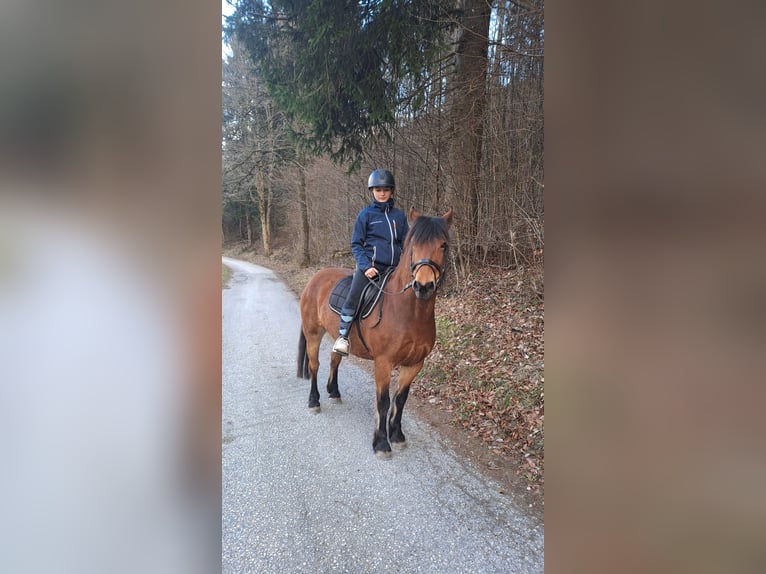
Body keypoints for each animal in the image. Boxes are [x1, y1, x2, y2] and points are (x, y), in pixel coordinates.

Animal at [297, 207, 453, 456]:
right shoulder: (383, 362)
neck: (409, 312)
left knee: (334, 358)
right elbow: (384, 401)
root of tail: (315, 278)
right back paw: (314, 401)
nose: (423, 286)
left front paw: (397, 435)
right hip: (313, 333)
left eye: (443, 245)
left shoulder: (414, 364)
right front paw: (381, 443)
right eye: (414, 245)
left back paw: (334, 391)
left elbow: (400, 399)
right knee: (314, 365)